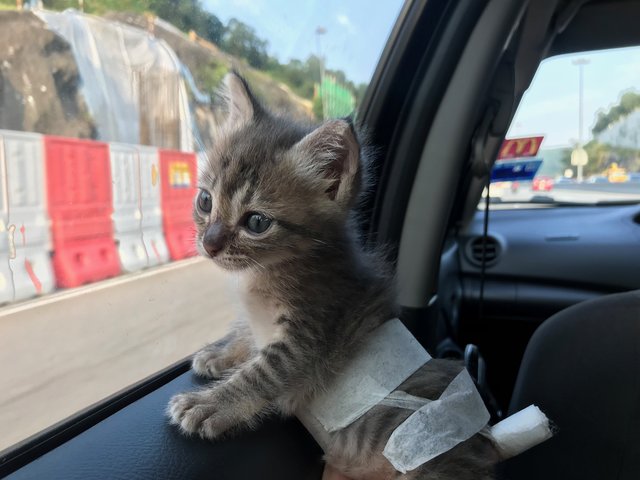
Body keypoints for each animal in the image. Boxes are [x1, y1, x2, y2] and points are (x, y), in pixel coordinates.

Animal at [168, 73, 502, 480]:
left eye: (257, 222)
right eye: (204, 201)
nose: (209, 243)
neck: (270, 272)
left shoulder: (308, 335)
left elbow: (260, 374)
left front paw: (210, 404)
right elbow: (248, 332)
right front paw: (220, 354)